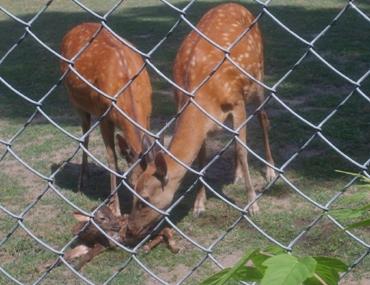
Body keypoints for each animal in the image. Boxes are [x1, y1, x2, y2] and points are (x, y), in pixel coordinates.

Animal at [60, 22, 153, 215]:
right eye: (134, 185)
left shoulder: (148, 114)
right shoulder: (104, 115)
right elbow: (111, 158)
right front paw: (115, 208)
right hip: (75, 101)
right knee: (85, 136)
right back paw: (81, 181)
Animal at [124, 2, 274, 242]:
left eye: (145, 200)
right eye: (133, 192)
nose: (129, 230)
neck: (202, 97)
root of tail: (238, 5)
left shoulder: (236, 102)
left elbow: (242, 150)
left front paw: (252, 205)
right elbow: (201, 159)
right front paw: (199, 205)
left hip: (257, 75)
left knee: (263, 117)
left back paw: (269, 171)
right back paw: (237, 175)